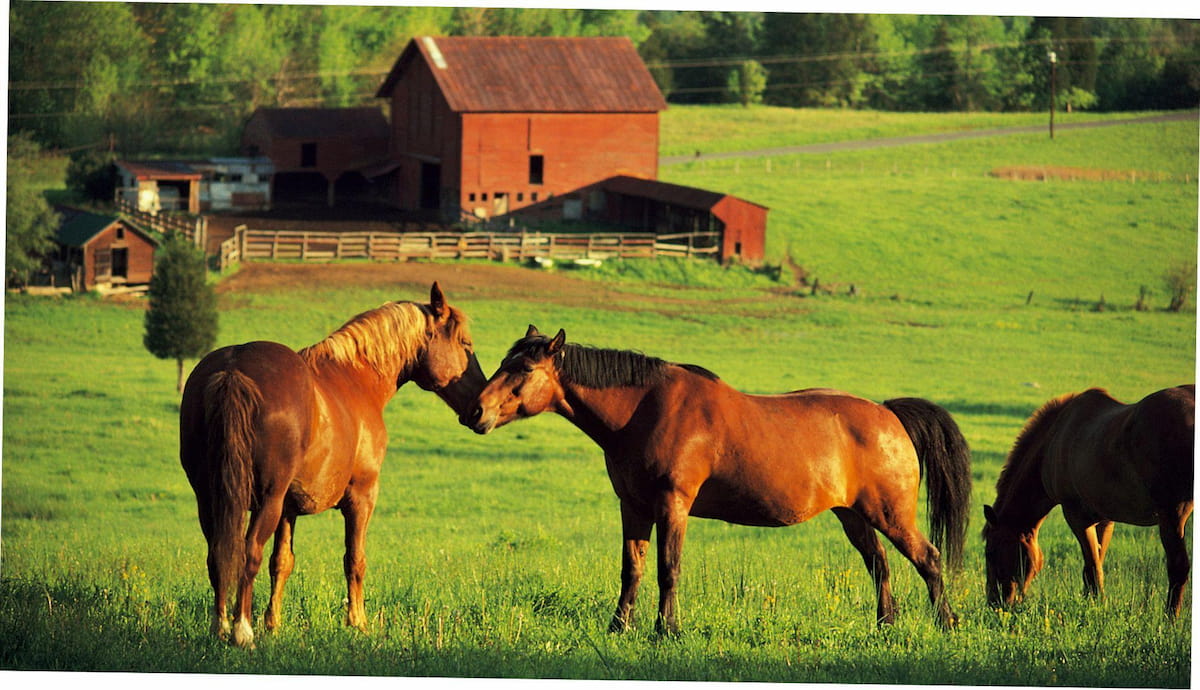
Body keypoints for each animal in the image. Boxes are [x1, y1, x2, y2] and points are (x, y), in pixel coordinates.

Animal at [179, 283, 485, 648]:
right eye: (465, 344)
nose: (480, 407)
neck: (356, 378)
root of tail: (233, 369)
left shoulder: (288, 509)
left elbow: (282, 563)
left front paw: (274, 624)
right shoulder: (361, 498)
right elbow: (354, 560)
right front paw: (358, 623)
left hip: (211, 499)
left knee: (218, 555)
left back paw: (221, 626)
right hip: (265, 500)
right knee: (248, 553)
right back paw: (242, 630)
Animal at [465, 326, 973, 633]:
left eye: (524, 368)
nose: (475, 411)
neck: (645, 408)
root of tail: (888, 414)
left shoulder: (673, 505)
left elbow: (668, 569)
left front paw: (665, 630)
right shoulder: (633, 507)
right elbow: (632, 569)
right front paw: (619, 627)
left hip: (889, 514)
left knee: (928, 558)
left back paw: (946, 622)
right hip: (853, 515)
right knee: (880, 565)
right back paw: (886, 624)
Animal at [982, 385, 1194, 618]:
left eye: (990, 553)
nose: (994, 603)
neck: (1055, 438)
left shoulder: (1075, 514)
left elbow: (1092, 567)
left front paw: (1095, 608)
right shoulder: (1105, 519)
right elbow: (1096, 563)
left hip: (1172, 515)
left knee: (1178, 567)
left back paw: (1170, 618)